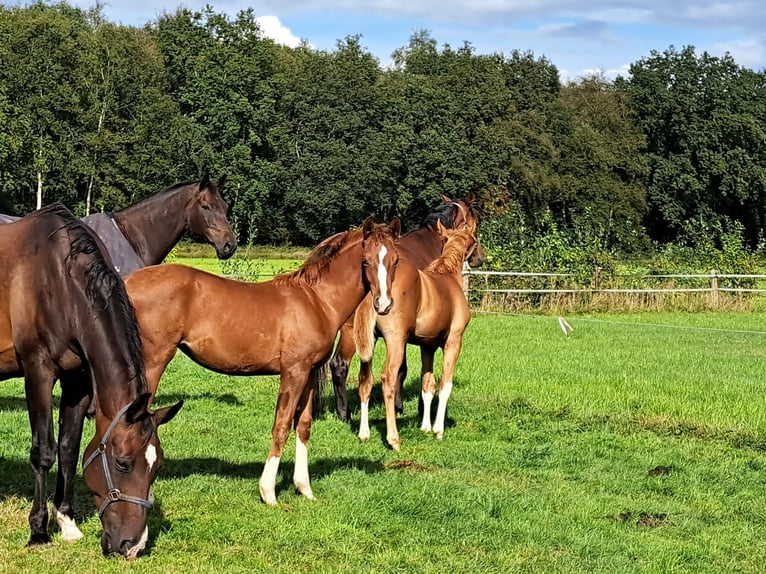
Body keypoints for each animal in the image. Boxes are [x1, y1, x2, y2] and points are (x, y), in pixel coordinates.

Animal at [0, 205, 183, 560]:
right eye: (123, 463)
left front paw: (66, 521)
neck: (57, 277)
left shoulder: (79, 381)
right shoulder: (38, 371)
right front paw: (38, 530)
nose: (133, 546)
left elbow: (69, 448)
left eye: (157, 465)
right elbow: (44, 451)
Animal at [124, 218, 402, 506]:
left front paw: (304, 488)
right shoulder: (293, 372)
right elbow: (281, 425)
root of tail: (128, 281)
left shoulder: (309, 373)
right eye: (366, 261)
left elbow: (303, 426)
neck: (317, 301)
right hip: (153, 361)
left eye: (396, 260)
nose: (383, 305)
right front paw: (268, 492)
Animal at [328, 194, 486, 424]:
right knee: (339, 365)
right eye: (475, 225)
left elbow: (403, 369)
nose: (480, 258)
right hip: (351, 332)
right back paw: (345, 415)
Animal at [356, 223, 480, 452]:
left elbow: (427, 385)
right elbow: (445, 384)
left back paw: (364, 433)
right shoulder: (454, 341)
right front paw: (438, 430)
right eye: (475, 240)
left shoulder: (427, 346)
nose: (480, 259)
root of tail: (376, 295)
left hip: (369, 344)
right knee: (388, 378)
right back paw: (393, 439)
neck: (448, 278)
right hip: (395, 342)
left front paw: (425, 427)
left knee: (365, 380)